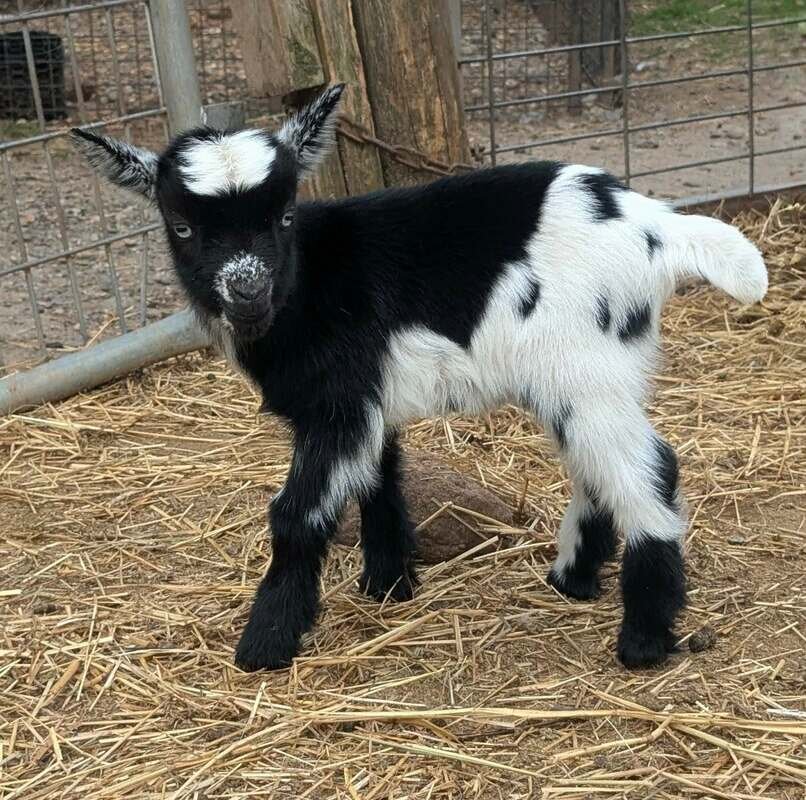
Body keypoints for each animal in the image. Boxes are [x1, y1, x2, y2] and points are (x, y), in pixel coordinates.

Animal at [72, 84, 768, 671]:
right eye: (182, 227)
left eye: (285, 218)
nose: (247, 292)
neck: (304, 286)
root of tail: (659, 227)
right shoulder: (369, 400)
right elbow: (380, 482)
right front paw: (388, 587)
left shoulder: (339, 403)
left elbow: (297, 513)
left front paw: (266, 642)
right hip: (584, 375)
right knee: (597, 468)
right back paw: (572, 580)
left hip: (586, 366)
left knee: (649, 470)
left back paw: (644, 640)